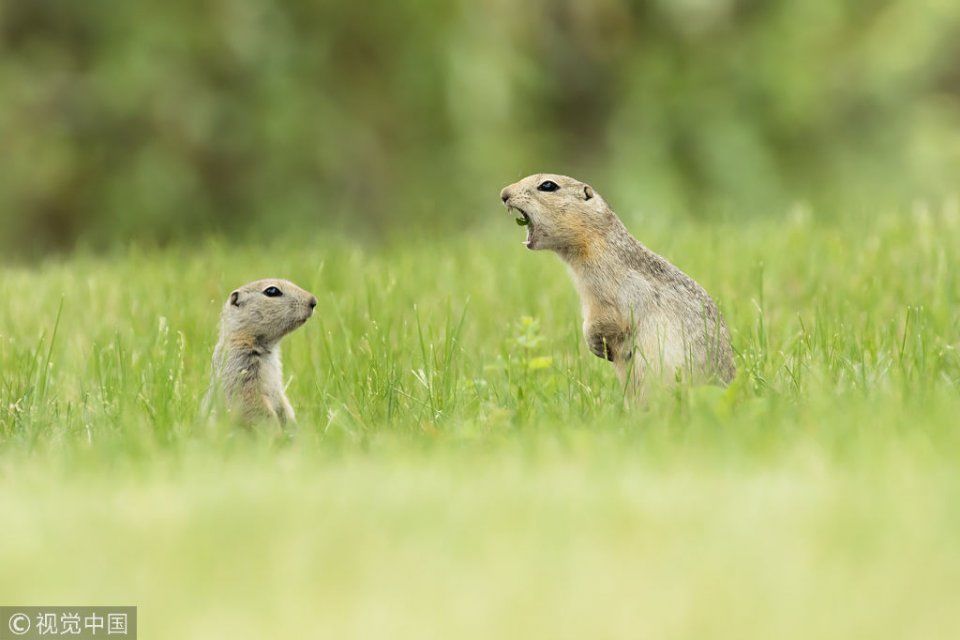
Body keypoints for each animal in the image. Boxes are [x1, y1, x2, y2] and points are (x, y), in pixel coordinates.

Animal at [204, 278, 316, 424]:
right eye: (272, 291)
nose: (313, 301)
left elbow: (283, 400)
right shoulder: (239, 366)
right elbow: (252, 404)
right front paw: (275, 429)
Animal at [498, 172, 732, 390]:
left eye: (548, 185)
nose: (504, 194)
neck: (595, 241)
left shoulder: (605, 288)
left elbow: (609, 319)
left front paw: (597, 346)